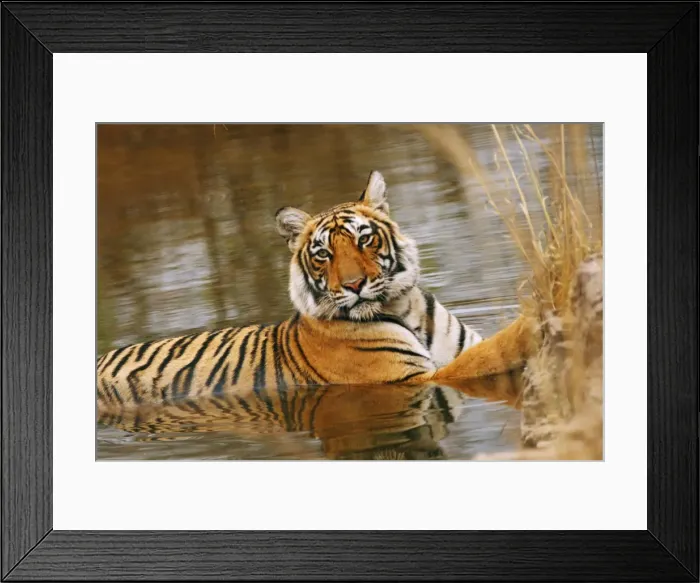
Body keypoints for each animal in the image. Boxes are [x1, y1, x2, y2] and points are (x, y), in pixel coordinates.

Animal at [97, 170, 535, 413]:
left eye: (364, 239)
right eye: (323, 254)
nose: (355, 285)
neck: (402, 305)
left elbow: (480, 353)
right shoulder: (412, 379)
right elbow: (484, 358)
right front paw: (531, 319)